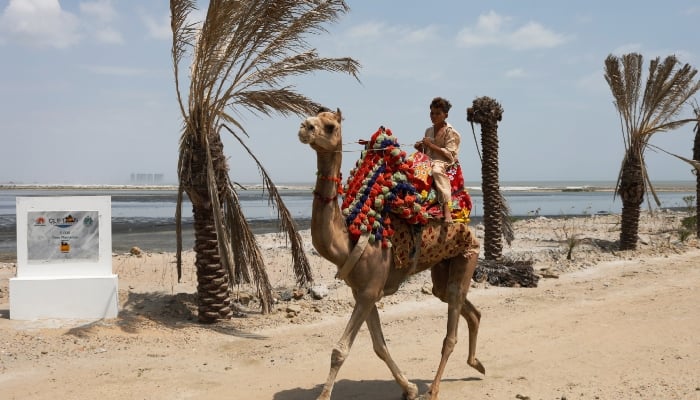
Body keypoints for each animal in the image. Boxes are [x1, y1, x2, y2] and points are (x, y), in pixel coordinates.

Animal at [297, 108, 485, 400]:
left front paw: (323, 396)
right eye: (312, 118)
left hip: (468, 254)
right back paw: (476, 364)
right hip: (444, 266)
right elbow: (379, 346)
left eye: (329, 126)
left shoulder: (369, 290)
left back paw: (434, 389)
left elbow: (340, 350)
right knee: (464, 306)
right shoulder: (363, 291)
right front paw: (409, 388)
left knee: (450, 332)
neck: (349, 240)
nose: (305, 127)